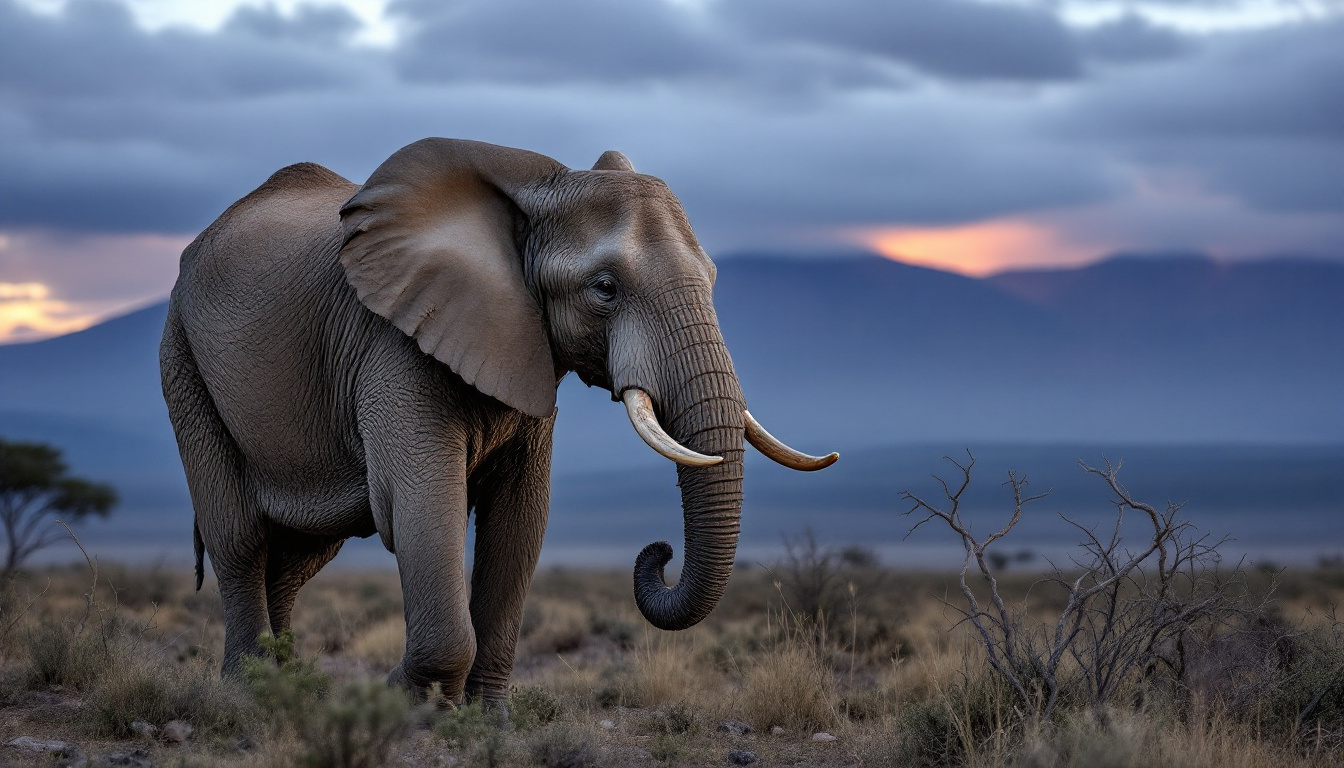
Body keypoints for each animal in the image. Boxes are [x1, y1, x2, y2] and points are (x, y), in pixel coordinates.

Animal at [157, 136, 827, 704]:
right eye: (604, 288)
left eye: (713, 278)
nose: (659, 552)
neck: (537, 190)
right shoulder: (394, 342)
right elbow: (422, 505)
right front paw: (403, 703)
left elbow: (520, 516)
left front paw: (483, 717)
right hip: (182, 356)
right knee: (241, 539)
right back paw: (248, 694)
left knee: (299, 556)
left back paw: (286, 685)